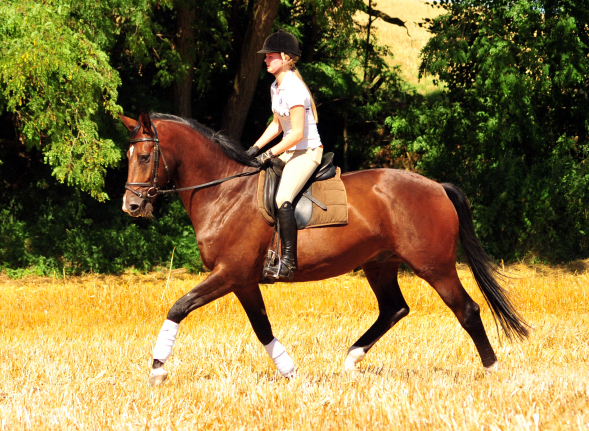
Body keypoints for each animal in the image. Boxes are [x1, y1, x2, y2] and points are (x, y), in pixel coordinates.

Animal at [119, 112, 528, 388]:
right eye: (128, 157)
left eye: (144, 157)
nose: (131, 206)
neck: (224, 191)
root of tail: (437, 186)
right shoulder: (243, 281)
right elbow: (263, 328)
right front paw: (290, 372)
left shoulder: (229, 273)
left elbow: (179, 307)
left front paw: (157, 368)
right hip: (379, 264)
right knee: (394, 309)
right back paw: (351, 360)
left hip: (434, 266)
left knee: (466, 309)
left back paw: (492, 369)